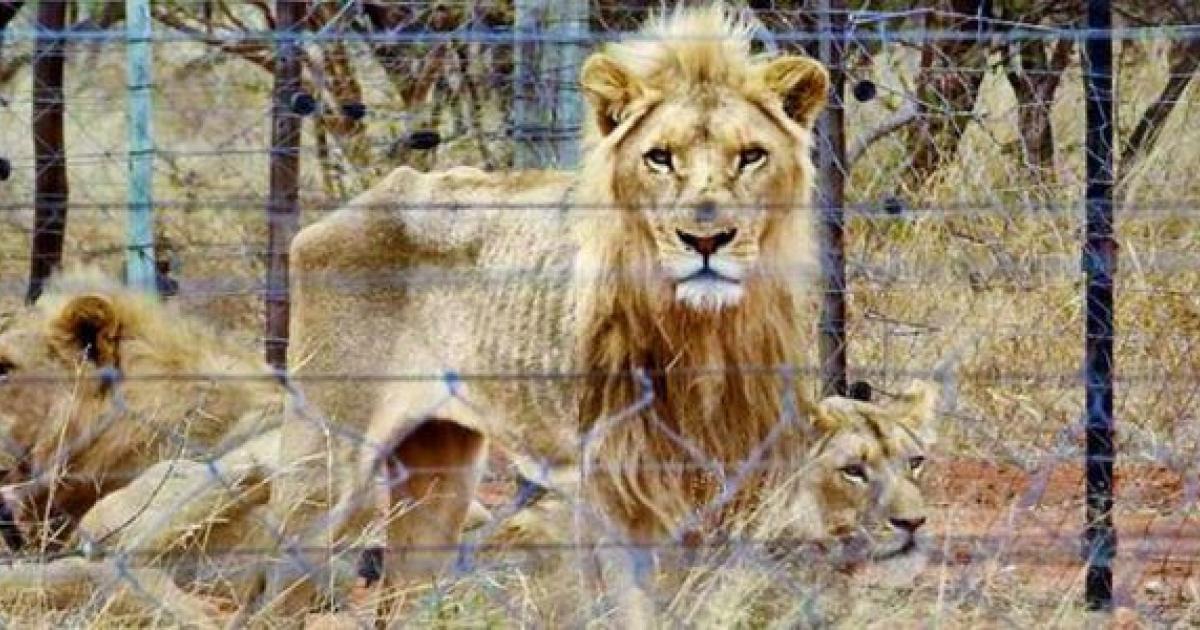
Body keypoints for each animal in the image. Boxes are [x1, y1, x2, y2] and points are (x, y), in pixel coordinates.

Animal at [263, 2, 832, 618]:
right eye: (659, 158)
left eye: (751, 156)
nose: (705, 239)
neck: (703, 334)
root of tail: (365, 198)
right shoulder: (608, 491)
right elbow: (631, 609)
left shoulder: (737, 490)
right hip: (327, 468)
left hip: (439, 478)